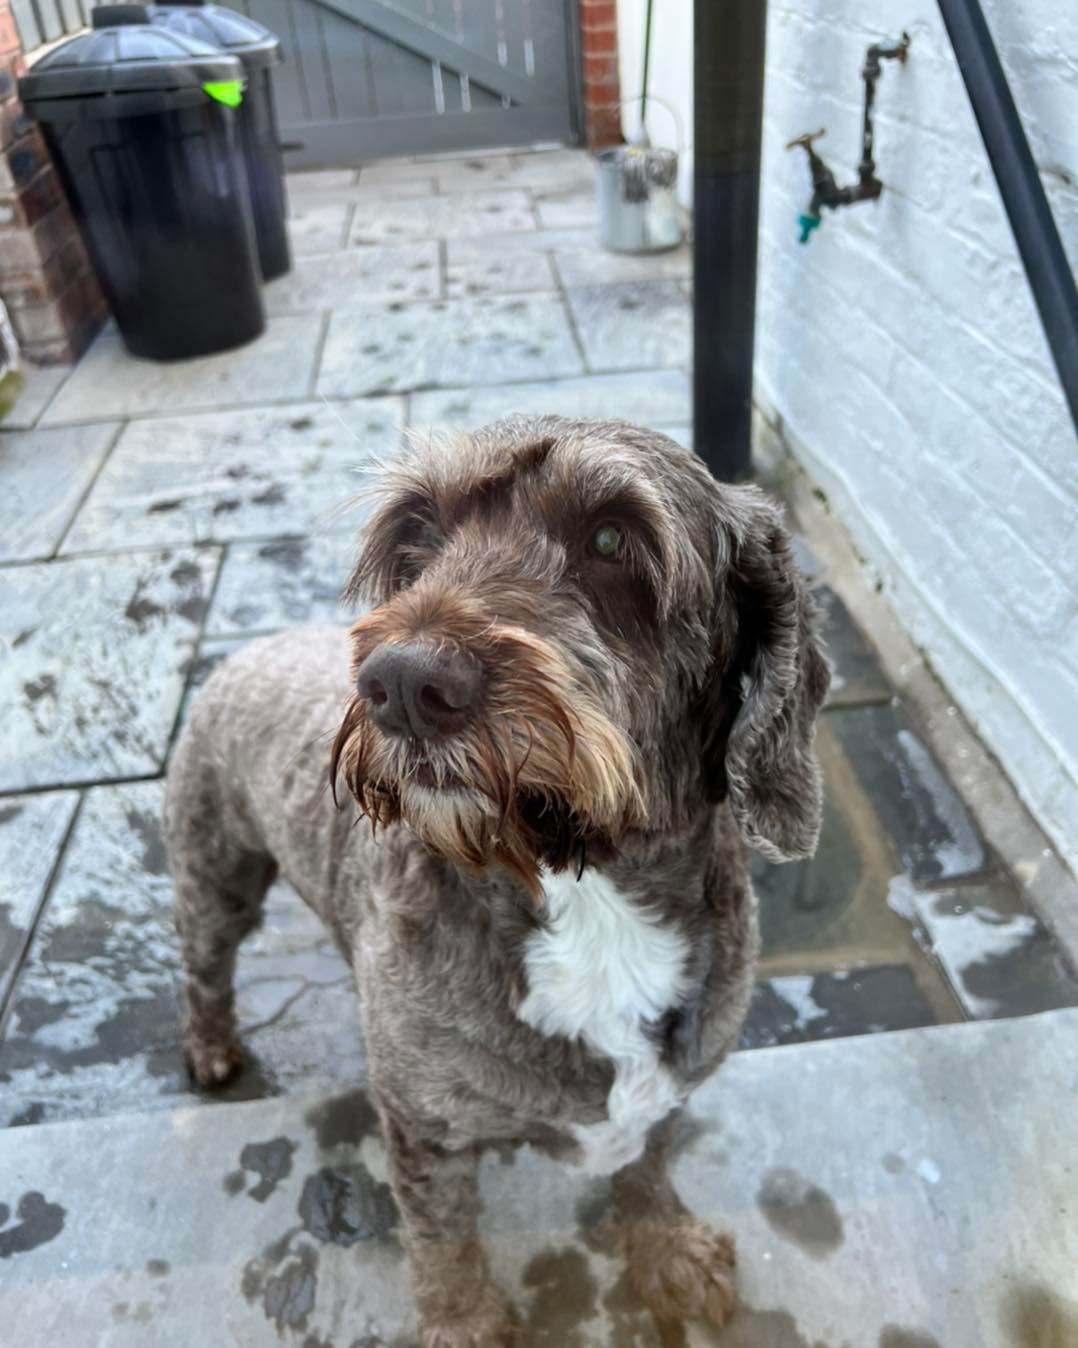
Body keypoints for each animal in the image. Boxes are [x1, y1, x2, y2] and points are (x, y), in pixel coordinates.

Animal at [165, 416, 829, 1346]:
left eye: (612, 538)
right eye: (415, 534)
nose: (402, 682)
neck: (583, 889)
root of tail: (251, 649)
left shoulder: (671, 1081)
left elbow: (648, 1164)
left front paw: (667, 1249)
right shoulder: (425, 1128)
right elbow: (441, 1239)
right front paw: (465, 1323)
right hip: (214, 865)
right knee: (204, 964)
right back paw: (212, 1047)